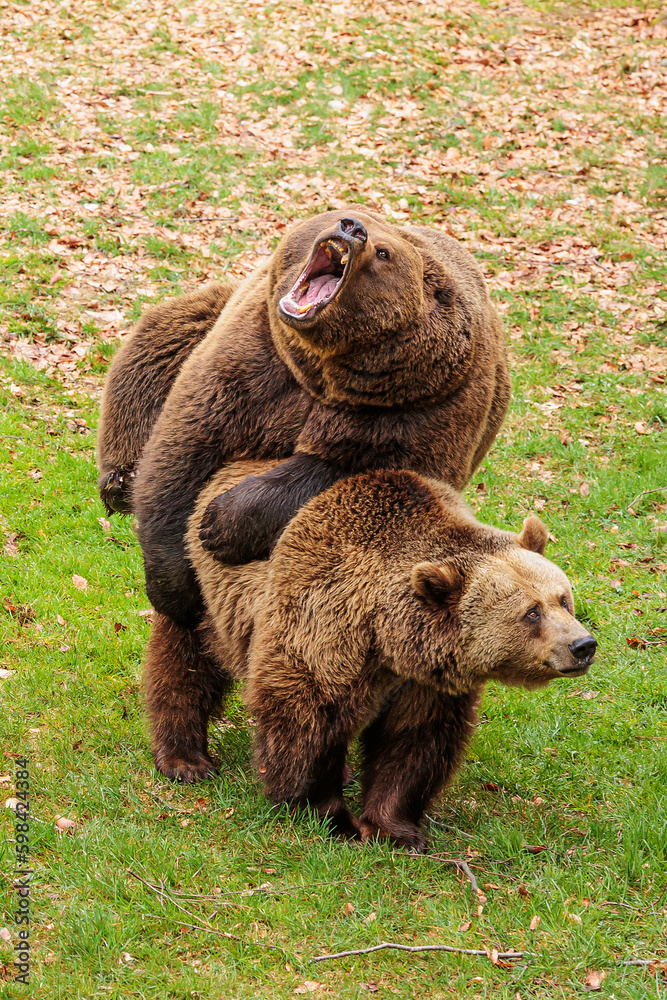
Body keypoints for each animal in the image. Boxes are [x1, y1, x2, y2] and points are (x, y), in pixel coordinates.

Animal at [97, 207, 510, 633]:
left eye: (384, 253)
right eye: (356, 216)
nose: (352, 228)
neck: (322, 371)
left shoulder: (418, 408)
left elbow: (352, 476)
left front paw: (220, 524)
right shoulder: (254, 360)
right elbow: (183, 451)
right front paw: (176, 589)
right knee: (160, 342)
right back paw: (120, 480)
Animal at [141, 462, 597, 850]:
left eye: (563, 599)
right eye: (531, 612)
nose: (582, 645)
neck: (388, 640)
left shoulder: (425, 682)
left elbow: (414, 743)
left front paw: (396, 830)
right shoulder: (322, 624)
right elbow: (306, 718)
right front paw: (330, 815)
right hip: (205, 594)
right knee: (186, 663)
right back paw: (185, 758)